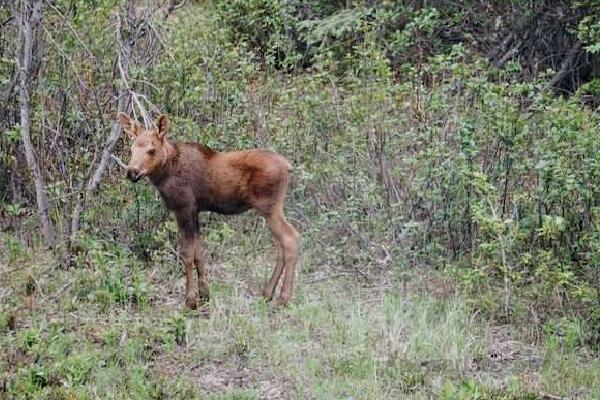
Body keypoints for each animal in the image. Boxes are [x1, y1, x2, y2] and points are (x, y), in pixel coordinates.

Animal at [118, 113, 300, 310]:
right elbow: (199, 253)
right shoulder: (195, 211)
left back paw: (283, 298)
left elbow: (187, 254)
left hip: (269, 207)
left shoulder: (184, 208)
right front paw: (205, 294)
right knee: (281, 245)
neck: (164, 174)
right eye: (132, 149)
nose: (132, 172)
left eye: (151, 150)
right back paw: (268, 293)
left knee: (290, 238)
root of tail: (289, 167)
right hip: (271, 209)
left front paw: (190, 300)